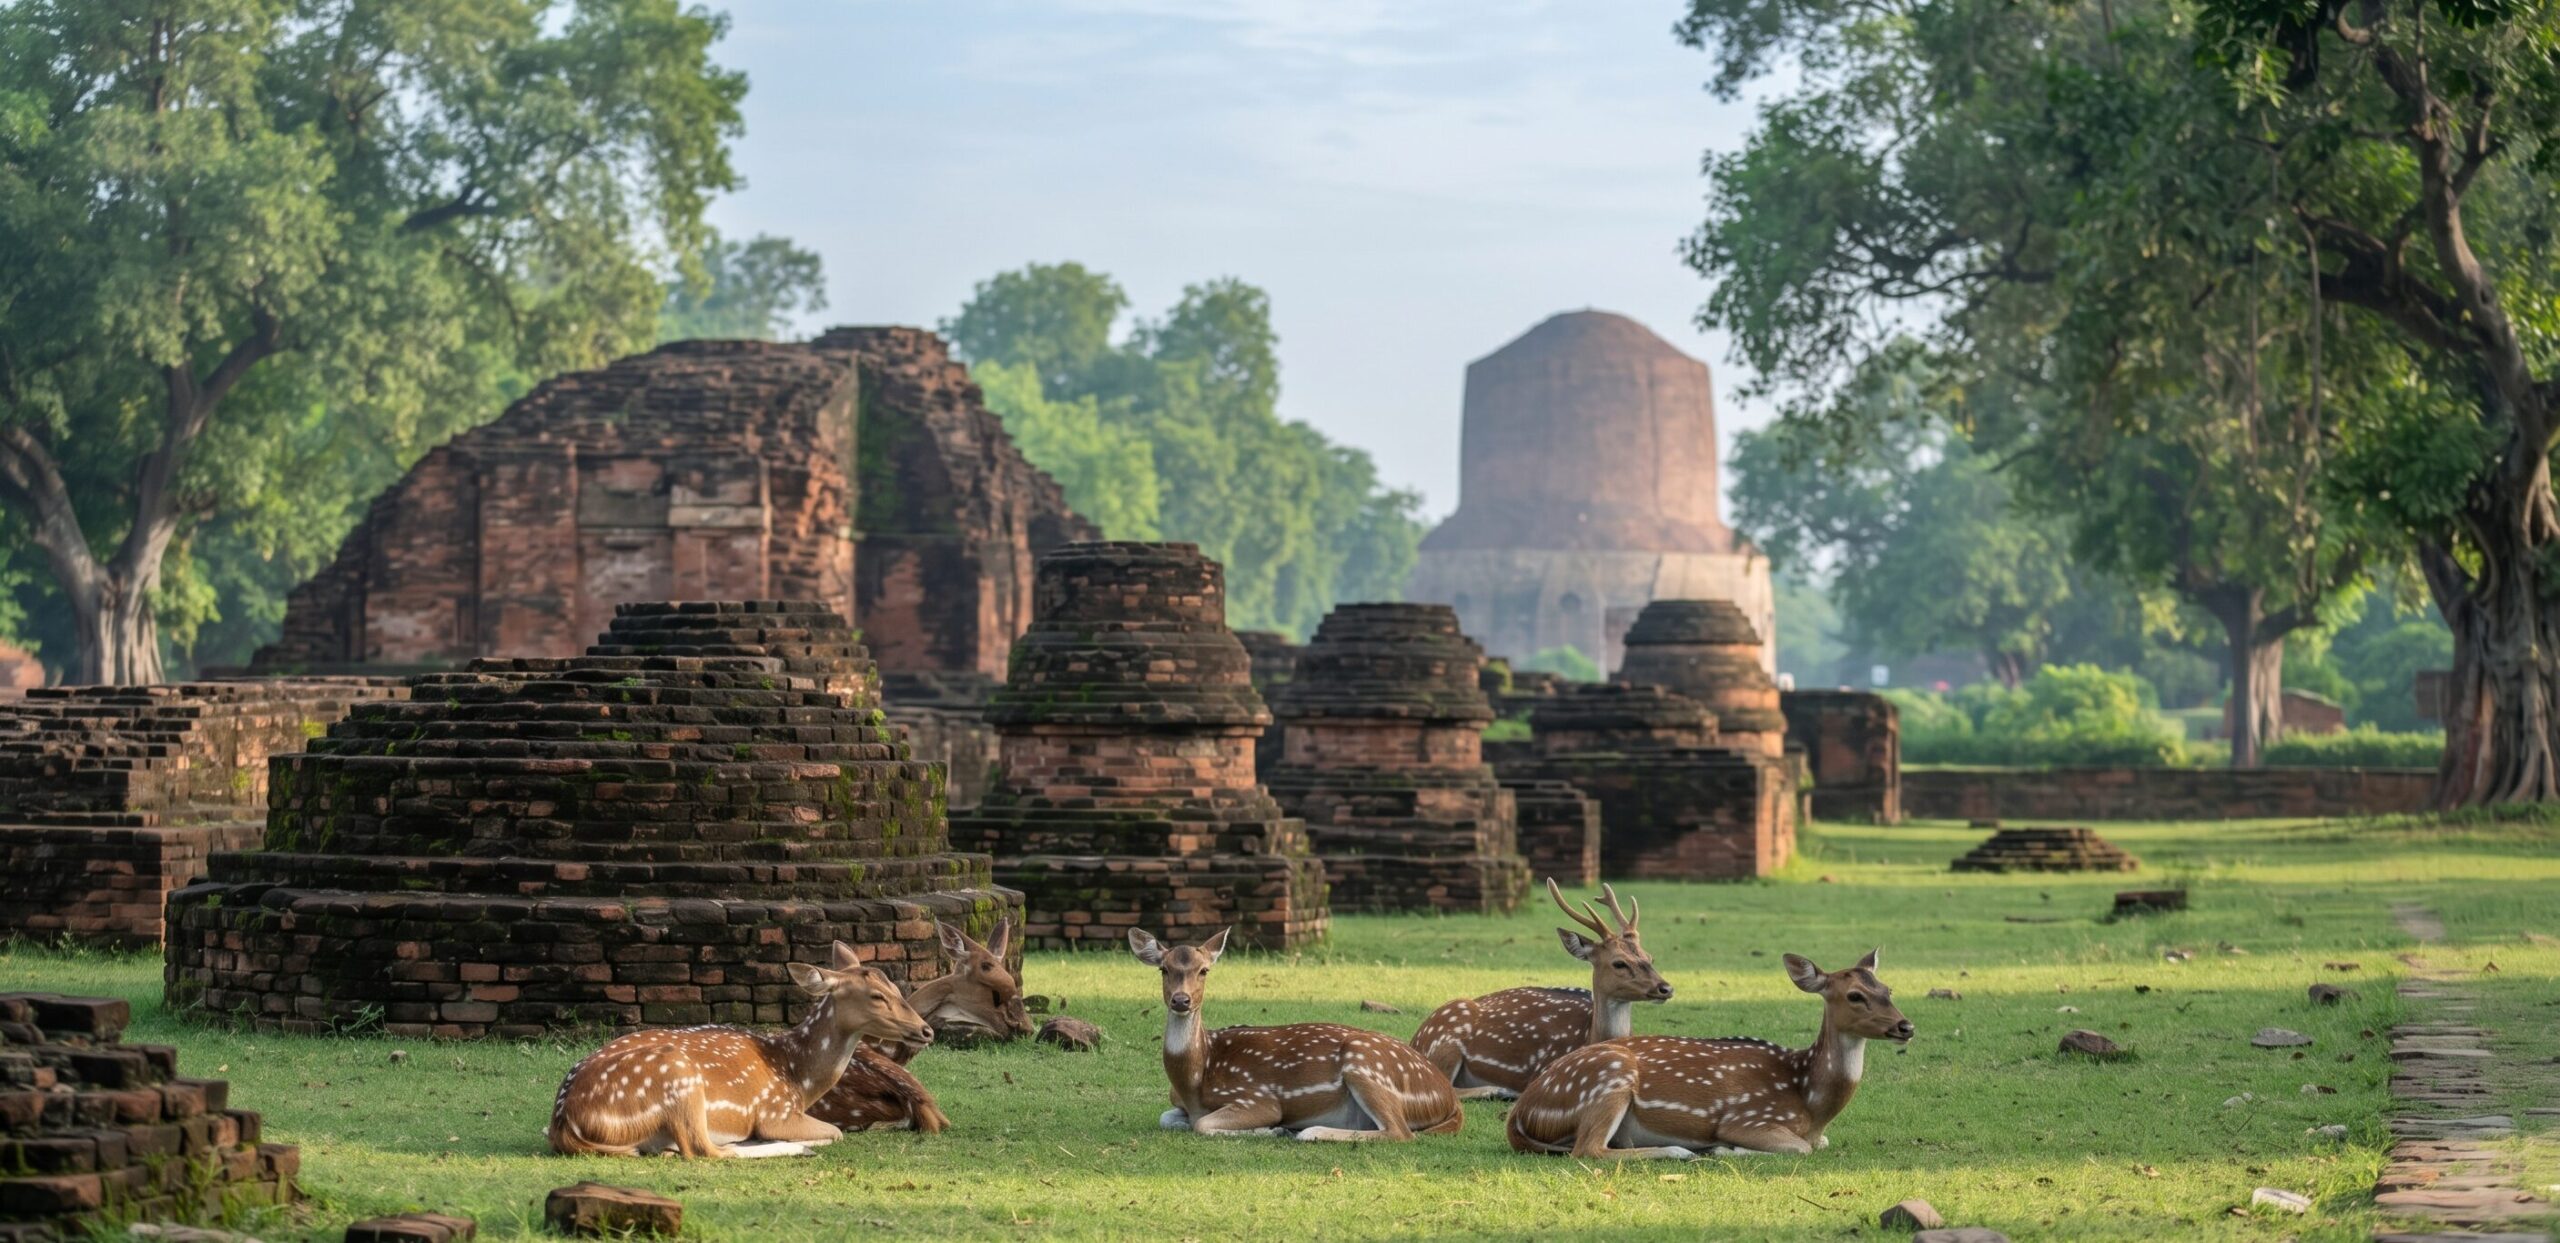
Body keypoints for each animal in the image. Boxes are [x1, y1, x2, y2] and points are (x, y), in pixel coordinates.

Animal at [548, 941, 936, 1158]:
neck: (798, 1077)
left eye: (894, 986)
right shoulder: (775, 1111)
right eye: (877, 996)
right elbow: (835, 1132)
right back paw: (791, 1148)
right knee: (705, 1150)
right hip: (679, 1078)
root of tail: (564, 1122)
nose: (926, 1030)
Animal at [1130, 927, 1464, 1142]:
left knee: (1400, 1132)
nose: (1181, 1000)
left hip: (1364, 1064)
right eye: (1163, 969)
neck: (1195, 1079)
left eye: (1204, 970)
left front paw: (1272, 1129)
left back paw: (1308, 1131)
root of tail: (1449, 1098)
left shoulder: (1257, 1098)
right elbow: (1167, 1119)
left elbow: (1201, 1124)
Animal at [1411, 878, 1672, 1099]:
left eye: (1650, 957)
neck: (1589, 1037)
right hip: (1447, 1037)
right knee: (1448, 1088)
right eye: (1619, 963)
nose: (1666, 988)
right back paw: (1500, 1090)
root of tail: (1416, 1040)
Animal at [1505, 949, 1911, 1160]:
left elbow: (1816, 1145)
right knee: (1587, 1149)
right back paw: (1679, 1151)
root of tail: (1521, 1111)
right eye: (1855, 995)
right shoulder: (1746, 1117)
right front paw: (1725, 1150)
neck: (1811, 1104)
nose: (1906, 1026)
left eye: (1887, 989)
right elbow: (1799, 1149)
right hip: (1608, 1075)